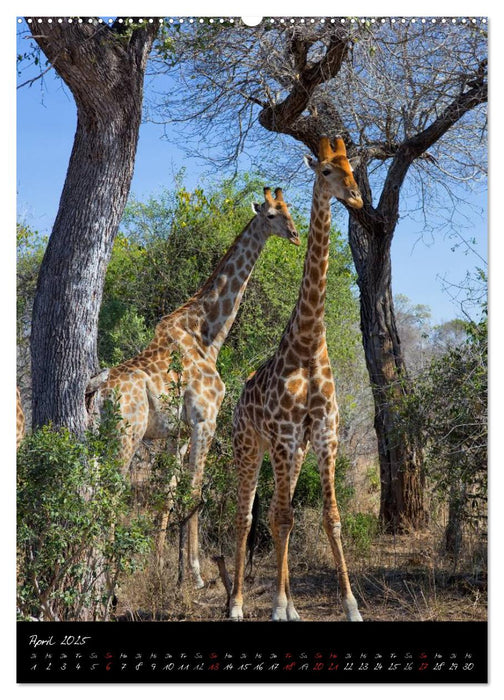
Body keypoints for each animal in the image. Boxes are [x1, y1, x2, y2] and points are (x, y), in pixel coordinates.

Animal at [96, 189, 298, 588]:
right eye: (270, 215)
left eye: (288, 210)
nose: (296, 235)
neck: (208, 335)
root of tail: (95, 392)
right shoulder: (206, 421)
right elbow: (195, 491)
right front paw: (196, 573)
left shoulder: (178, 432)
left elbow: (168, 493)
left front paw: (161, 566)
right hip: (125, 435)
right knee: (110, 491)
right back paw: (108, 578)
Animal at [230, 138, 364, 624]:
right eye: (326, 170)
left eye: (351, 168)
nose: (356, 198)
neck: (308, 343)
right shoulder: (287, 434)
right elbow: (285, 519)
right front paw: (275, 608)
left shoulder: (323, 434)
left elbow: (331, 517)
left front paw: (350, 605)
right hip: (251, 447)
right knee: (248, 516)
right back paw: (238, 604)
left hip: (289, 452)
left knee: (273, 512)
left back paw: (286, 604)